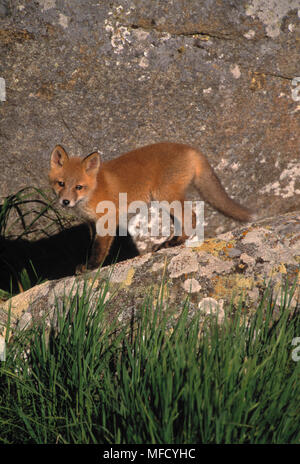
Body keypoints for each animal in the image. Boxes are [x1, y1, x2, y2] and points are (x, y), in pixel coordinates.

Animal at [48, 142, 253, 272]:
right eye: (61, 184)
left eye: (78, 187)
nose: (65, 202)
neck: (94, 189)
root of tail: (189, 148)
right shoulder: (91, 223)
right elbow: (91, 245)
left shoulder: (106, 219)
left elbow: (99, 248)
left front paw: (92, 267)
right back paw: (172, 242)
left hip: (165, 197)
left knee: (192, 217)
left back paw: (176, 242)